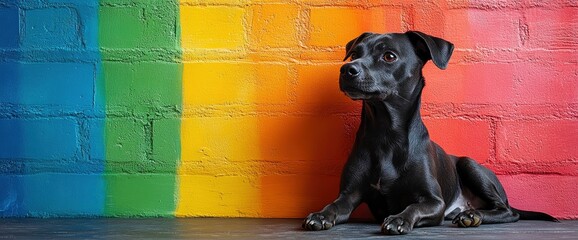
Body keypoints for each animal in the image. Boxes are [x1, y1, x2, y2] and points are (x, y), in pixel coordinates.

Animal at [300, 31, 556, 235]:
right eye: (355, 54)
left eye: (389, 56)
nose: (347, 69)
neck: (386, 133)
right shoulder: (349, 194)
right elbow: (335, 205)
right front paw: (320, 215)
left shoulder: (434, 202)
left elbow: (414, 206)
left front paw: (399, 219)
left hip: (469, 165)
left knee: (508, 211)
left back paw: (472, 216)